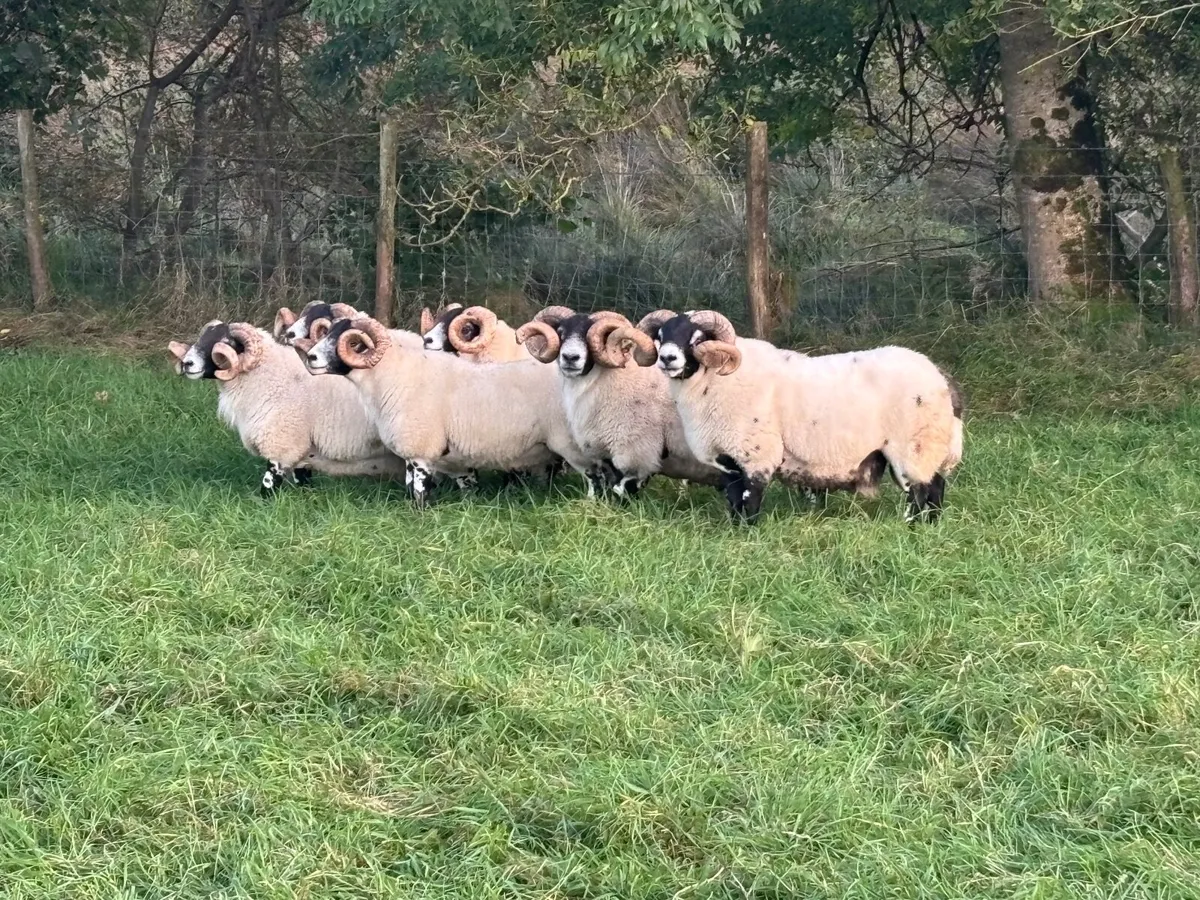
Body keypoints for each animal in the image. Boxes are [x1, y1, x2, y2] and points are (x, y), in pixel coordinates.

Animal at [167, 321, 408, 496]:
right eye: (202, 338)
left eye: (225, 341)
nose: (187, 363)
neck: (268, 375)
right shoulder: (303, 449)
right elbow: (304, 480)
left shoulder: (281, 443)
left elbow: (268, 484)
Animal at [301, 315, 591, 508]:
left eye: (352, 343)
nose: (311, 358)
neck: (394, 376)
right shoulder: (413, 453)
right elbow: (411, 486)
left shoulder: (421, 450)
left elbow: (418, 491)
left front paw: (418, 516)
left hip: (573, 443)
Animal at [514, 305, 724, 498]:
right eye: (560, 333)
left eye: (590, 336)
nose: (570, 358)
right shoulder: (605, 452)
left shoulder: (635, 451)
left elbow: (622, 490)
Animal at [610, 310, 964, 524]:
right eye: (660, 336)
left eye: (697, 338)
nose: (668, 358)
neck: (715, 381)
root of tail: (941, 377)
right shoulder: (729, 459)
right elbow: (734, 498)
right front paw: (733, 529)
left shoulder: (755, 453)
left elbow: (750, 498)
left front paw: (747, 535)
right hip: (926, 449)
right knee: (936, 488)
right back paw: (929, 527)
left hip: (914, 447)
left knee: (921, 492)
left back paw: (912, 526)